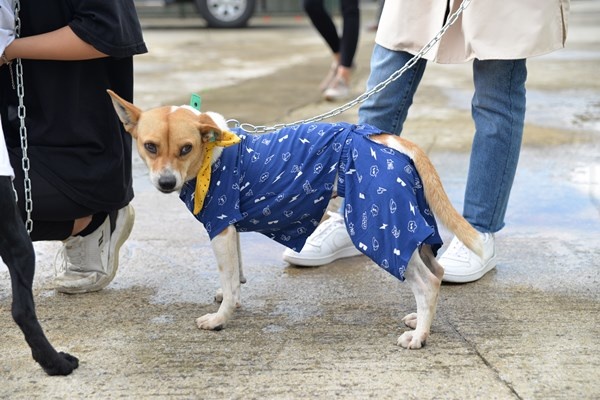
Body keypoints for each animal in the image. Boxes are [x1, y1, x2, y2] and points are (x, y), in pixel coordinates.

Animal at [108, 89, 482, 348]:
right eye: (150, 146)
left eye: (185, 148)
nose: (166, 182)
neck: (212, 153)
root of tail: (389, 140)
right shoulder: (231, 227)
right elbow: (235, 276)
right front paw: (231, 299)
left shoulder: (220, 227)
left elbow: (228, 281)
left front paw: (220, 319)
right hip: (409, 224)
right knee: (436, 272)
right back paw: (419, 320)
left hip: (384, 228)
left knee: (427, 282)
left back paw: (419, 336)